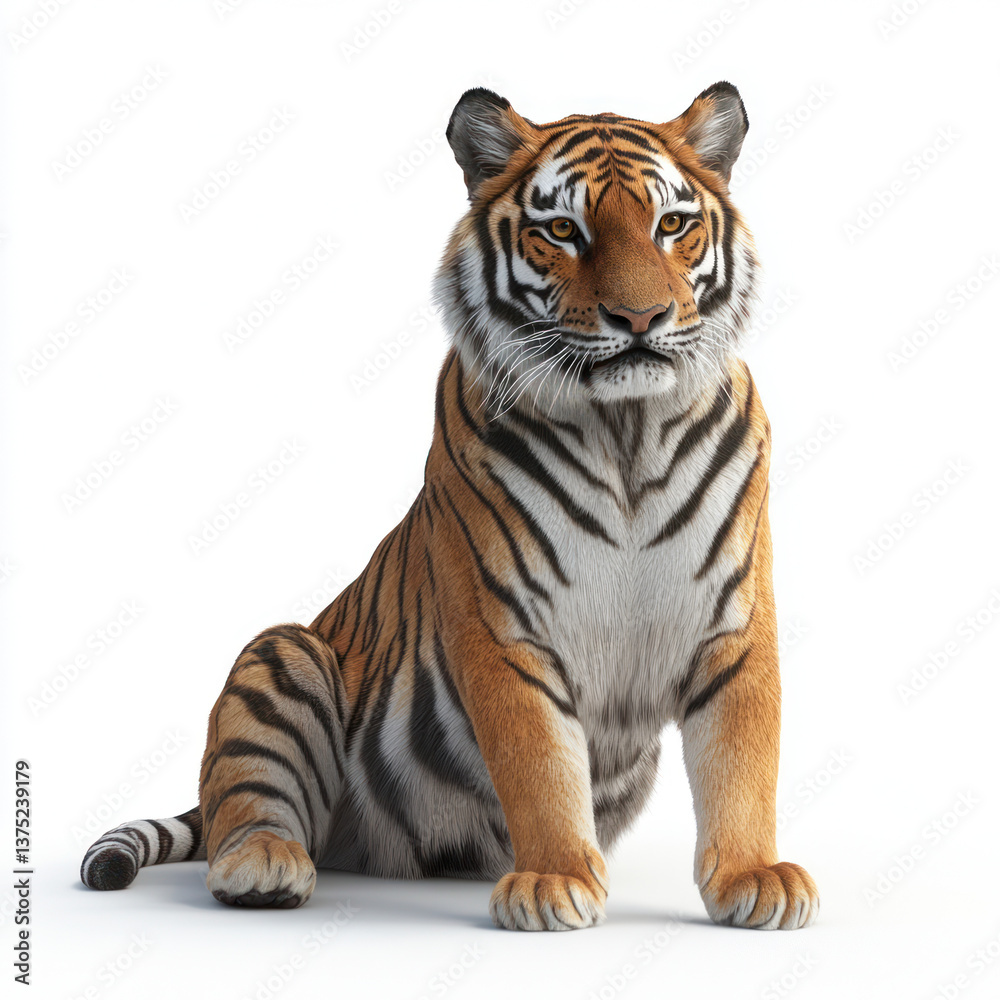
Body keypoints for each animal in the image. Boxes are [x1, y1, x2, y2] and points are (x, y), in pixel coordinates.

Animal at [81, 82, 819, 931]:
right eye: (562, 231)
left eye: (672, 225)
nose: (640, 321)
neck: (625, 432)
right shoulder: (503, 624)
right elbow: (538, 763)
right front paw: (554, 880)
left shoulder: (734, 620)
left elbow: (743, 759)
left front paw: (755, 877)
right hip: (282, 656)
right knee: (249, 799)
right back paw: (264, 865)